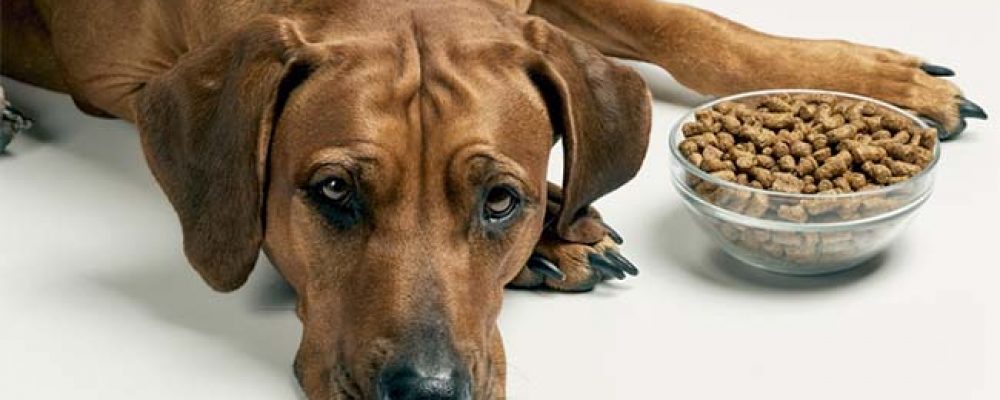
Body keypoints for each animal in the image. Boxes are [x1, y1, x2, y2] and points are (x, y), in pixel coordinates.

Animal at [1, 0, 987, 398]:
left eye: (499, 202)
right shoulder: (121, 79)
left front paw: (878, 79)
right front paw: (561, 234)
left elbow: (683, 23)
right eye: (331, 191)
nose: (426, 393)